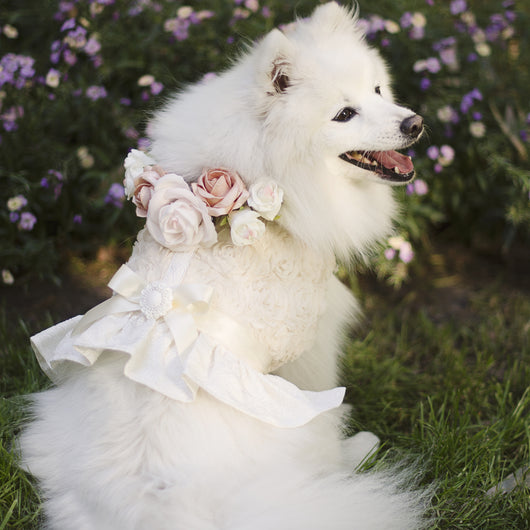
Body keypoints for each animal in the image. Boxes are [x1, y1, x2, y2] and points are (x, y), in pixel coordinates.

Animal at [22, 5, 428, 528]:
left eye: (377, 90)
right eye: (344, 114)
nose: (415, 123)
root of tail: (155, 498)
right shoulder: (313, 342)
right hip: (302, 428)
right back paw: (359, 445)